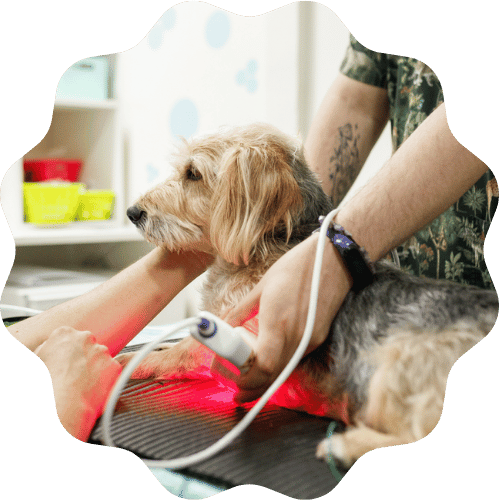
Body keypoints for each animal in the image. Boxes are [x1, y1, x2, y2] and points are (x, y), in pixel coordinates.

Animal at [119, 123, 498, 470]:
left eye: (193, 174)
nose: (133, 212)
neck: (269, 242)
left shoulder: (239, 331)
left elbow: (177, 353)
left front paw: (129, 362)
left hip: (396, 363)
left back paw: (345, 446)